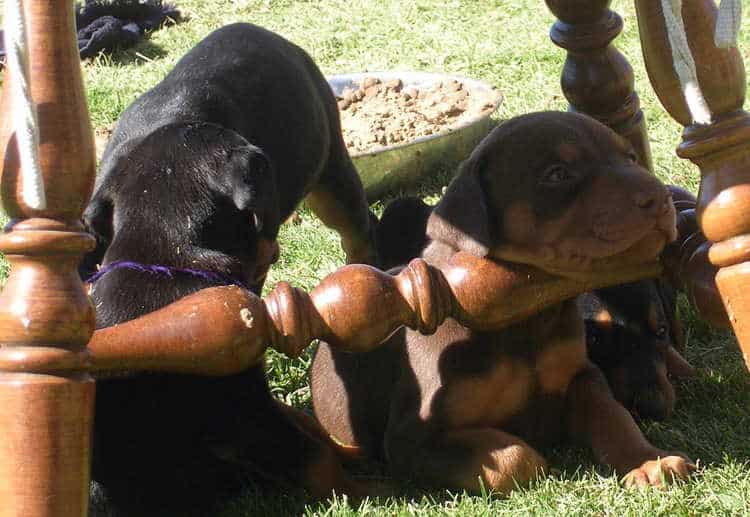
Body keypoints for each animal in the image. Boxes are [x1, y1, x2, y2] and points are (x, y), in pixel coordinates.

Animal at [310, 111, 692, 494]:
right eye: (557, 174)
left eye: (630, 157)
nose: (660, 198)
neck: (524, 315)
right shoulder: (413, 438)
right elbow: (516, 459)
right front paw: (537, 455)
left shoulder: (582, 375)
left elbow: (613, 414)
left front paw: (648, 461)